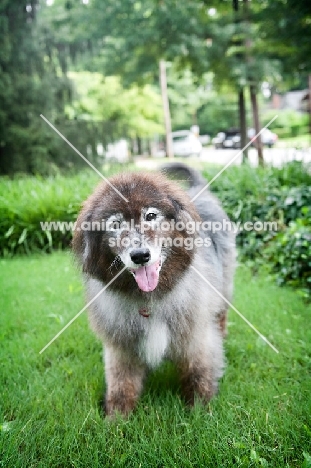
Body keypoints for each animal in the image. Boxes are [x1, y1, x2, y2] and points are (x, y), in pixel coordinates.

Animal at [73, 163, 236, 414]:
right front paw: (116, 416)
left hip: (224, 286)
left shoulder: (195, 338)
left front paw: (200, 409)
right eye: (115, 224)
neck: (149, 300)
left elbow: (198, 373)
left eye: (150, 216)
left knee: (221, 313)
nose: (140, 255)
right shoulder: (122, 348)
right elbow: (121, 383)